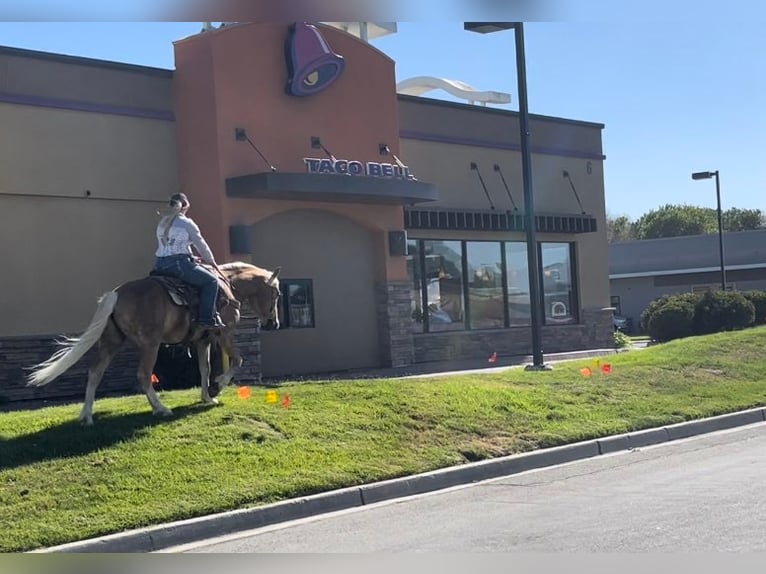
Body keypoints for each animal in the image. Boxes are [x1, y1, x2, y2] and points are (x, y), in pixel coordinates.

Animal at [24, 264, 284, 426]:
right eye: (277, 294)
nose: (274, 323)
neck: (227, 286)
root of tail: (116, 294)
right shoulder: (224, 333)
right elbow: (237, 360)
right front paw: (216, 387)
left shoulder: (203, 340)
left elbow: (205, 369)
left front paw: (207, 396)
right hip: (151, 344)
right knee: (143, 374)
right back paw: (160, 408)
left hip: (111, 342)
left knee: (95, 372)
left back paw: (87, 416)